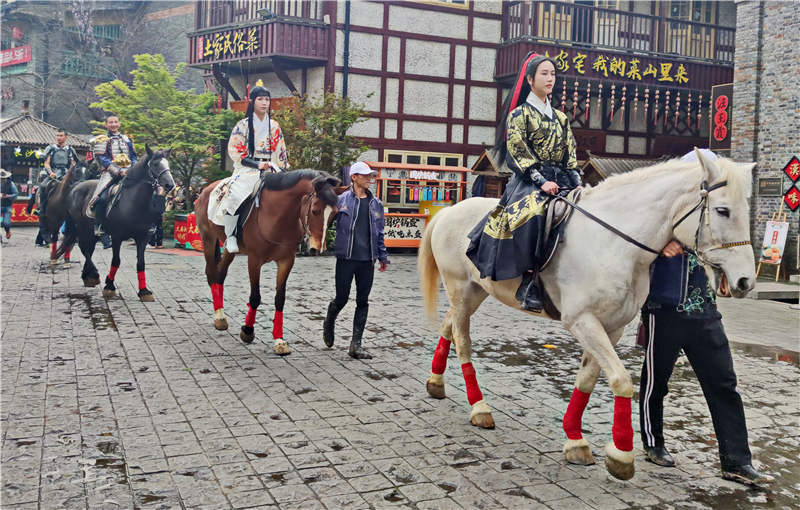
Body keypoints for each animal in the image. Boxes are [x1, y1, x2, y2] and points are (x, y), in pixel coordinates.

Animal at [56, 146, 175, 298]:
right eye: (155, 164)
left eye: (168, 164)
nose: (170, 184)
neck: (135, 203)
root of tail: (76, 187)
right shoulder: (117, 236)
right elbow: (116, 260)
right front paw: (109, 286)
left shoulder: (143, 236)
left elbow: (141, 262)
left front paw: (144, 291)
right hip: (81, 226)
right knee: (84, 248)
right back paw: (94, 274)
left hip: (89, 231)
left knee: (89, 248)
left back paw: (88, 276)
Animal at [198, 170, 342, 354]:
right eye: (315, 211)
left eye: (335, 214)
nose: (318, 249)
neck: (277, 216)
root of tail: (206, 188)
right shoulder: (254, 260)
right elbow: (255, 297)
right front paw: (248, 331)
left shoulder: (286, 261)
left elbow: (280, 299)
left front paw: (279, 340)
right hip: (208, 238)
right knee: (211, 273)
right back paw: (219, 317)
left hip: (230, 249)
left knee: (220, 274)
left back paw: (221, 315)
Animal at [418, 149, 756, 480]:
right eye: (723, 210)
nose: (745, 281)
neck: (615, 244)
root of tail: (449, 211)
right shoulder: (582, 321)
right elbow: (621, 379)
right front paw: (621, 455)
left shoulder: (611, 327)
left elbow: (587, 379)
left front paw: (575, 441)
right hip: (460, 288)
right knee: (462, 340)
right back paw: (479, 408)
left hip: (476, 291)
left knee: (449, 325)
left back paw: (436, 382)